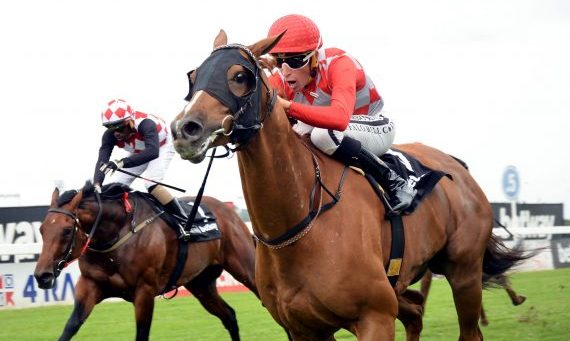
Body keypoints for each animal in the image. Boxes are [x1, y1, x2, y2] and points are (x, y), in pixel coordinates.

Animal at [32, 183, 258, 340]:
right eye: (42, 229)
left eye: (66, 230)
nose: (42, 275)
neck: (117, 233)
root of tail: (230, 212)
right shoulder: (90, 284)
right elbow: (70, 327)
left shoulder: (145, 291)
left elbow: (142, 334)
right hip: (201, 284)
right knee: (229, 315)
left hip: (246, 268)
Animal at [170, 30, 528, 338]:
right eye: (193, 77)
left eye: (239, 76)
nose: (185, 129)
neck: (303, 223)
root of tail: (457, 165)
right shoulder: (304, 329)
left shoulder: (375, 317)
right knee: (415, 313)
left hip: (464, 272)